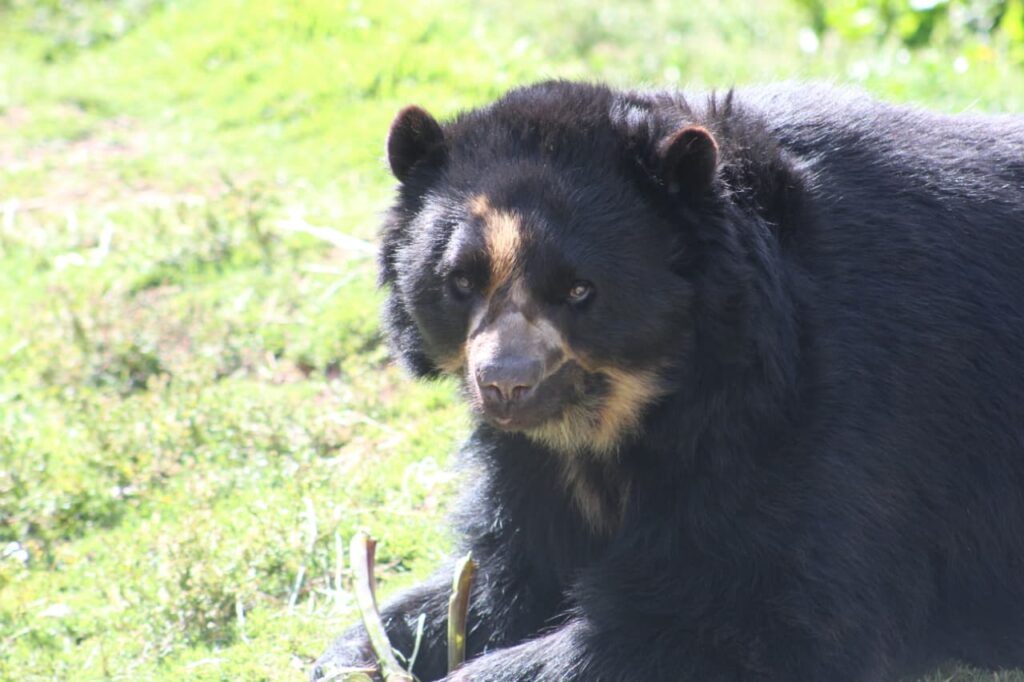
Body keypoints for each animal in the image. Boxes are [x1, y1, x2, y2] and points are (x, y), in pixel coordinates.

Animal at [311, 81, 1024, 681]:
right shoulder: (534, 466)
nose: (506, 384)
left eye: (580, 290)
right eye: (460, 282)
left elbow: (759, 615)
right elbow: (501, 575)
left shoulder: (837, 410)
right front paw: (355, 655)